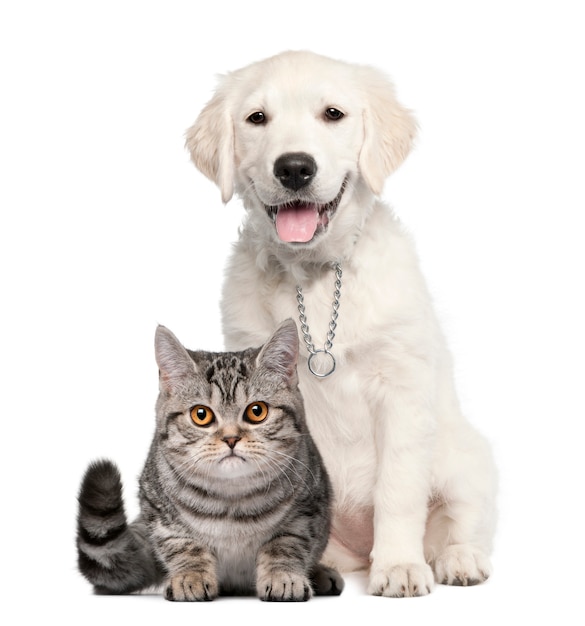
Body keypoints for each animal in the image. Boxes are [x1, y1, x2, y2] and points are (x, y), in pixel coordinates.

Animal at [185, 48, 496, 596]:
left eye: (333, 114)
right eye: (257, 118)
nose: (294, 168)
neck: (313, 275)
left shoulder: (402, 387)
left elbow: (399, 487)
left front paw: (399, 566)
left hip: (467, 458)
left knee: (461, 520)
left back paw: (458, 559)